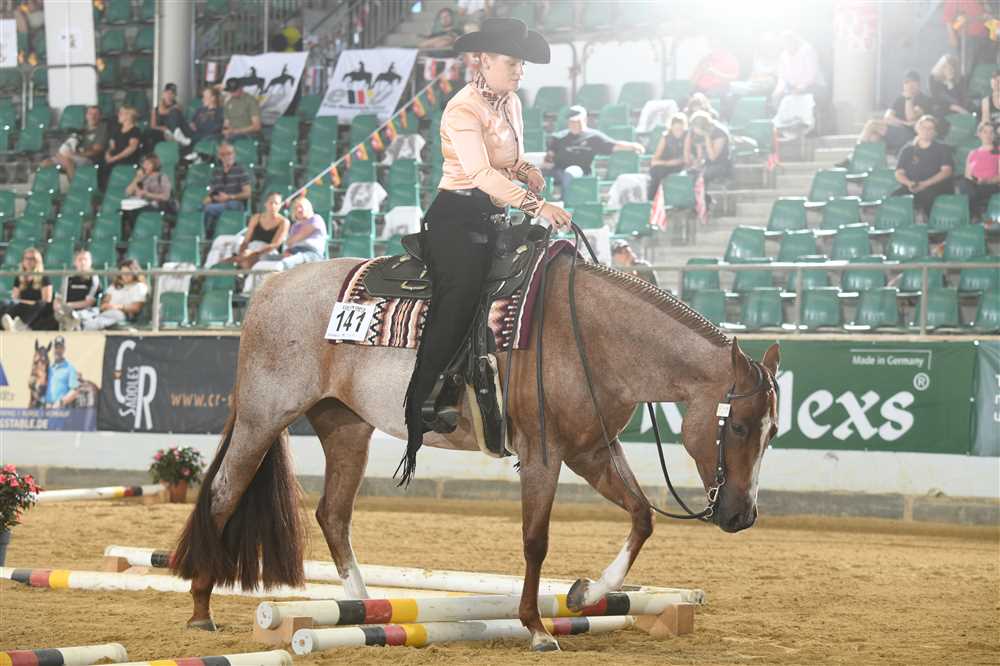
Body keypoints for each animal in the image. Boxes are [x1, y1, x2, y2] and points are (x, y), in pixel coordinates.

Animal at [173, 253, 780, 652]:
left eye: (773, 431)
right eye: (739, 426)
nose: (742, 515)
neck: (591, 336)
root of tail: (270, 288)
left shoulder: (592, 451)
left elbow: (641, 518)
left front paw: (584, 593)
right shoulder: (544, 454)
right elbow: (535, 540)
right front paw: (536, 627)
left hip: (345, 427)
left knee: (333, 514)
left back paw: (363, 610)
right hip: (263, 419)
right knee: (223, 493)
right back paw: (201, 608)